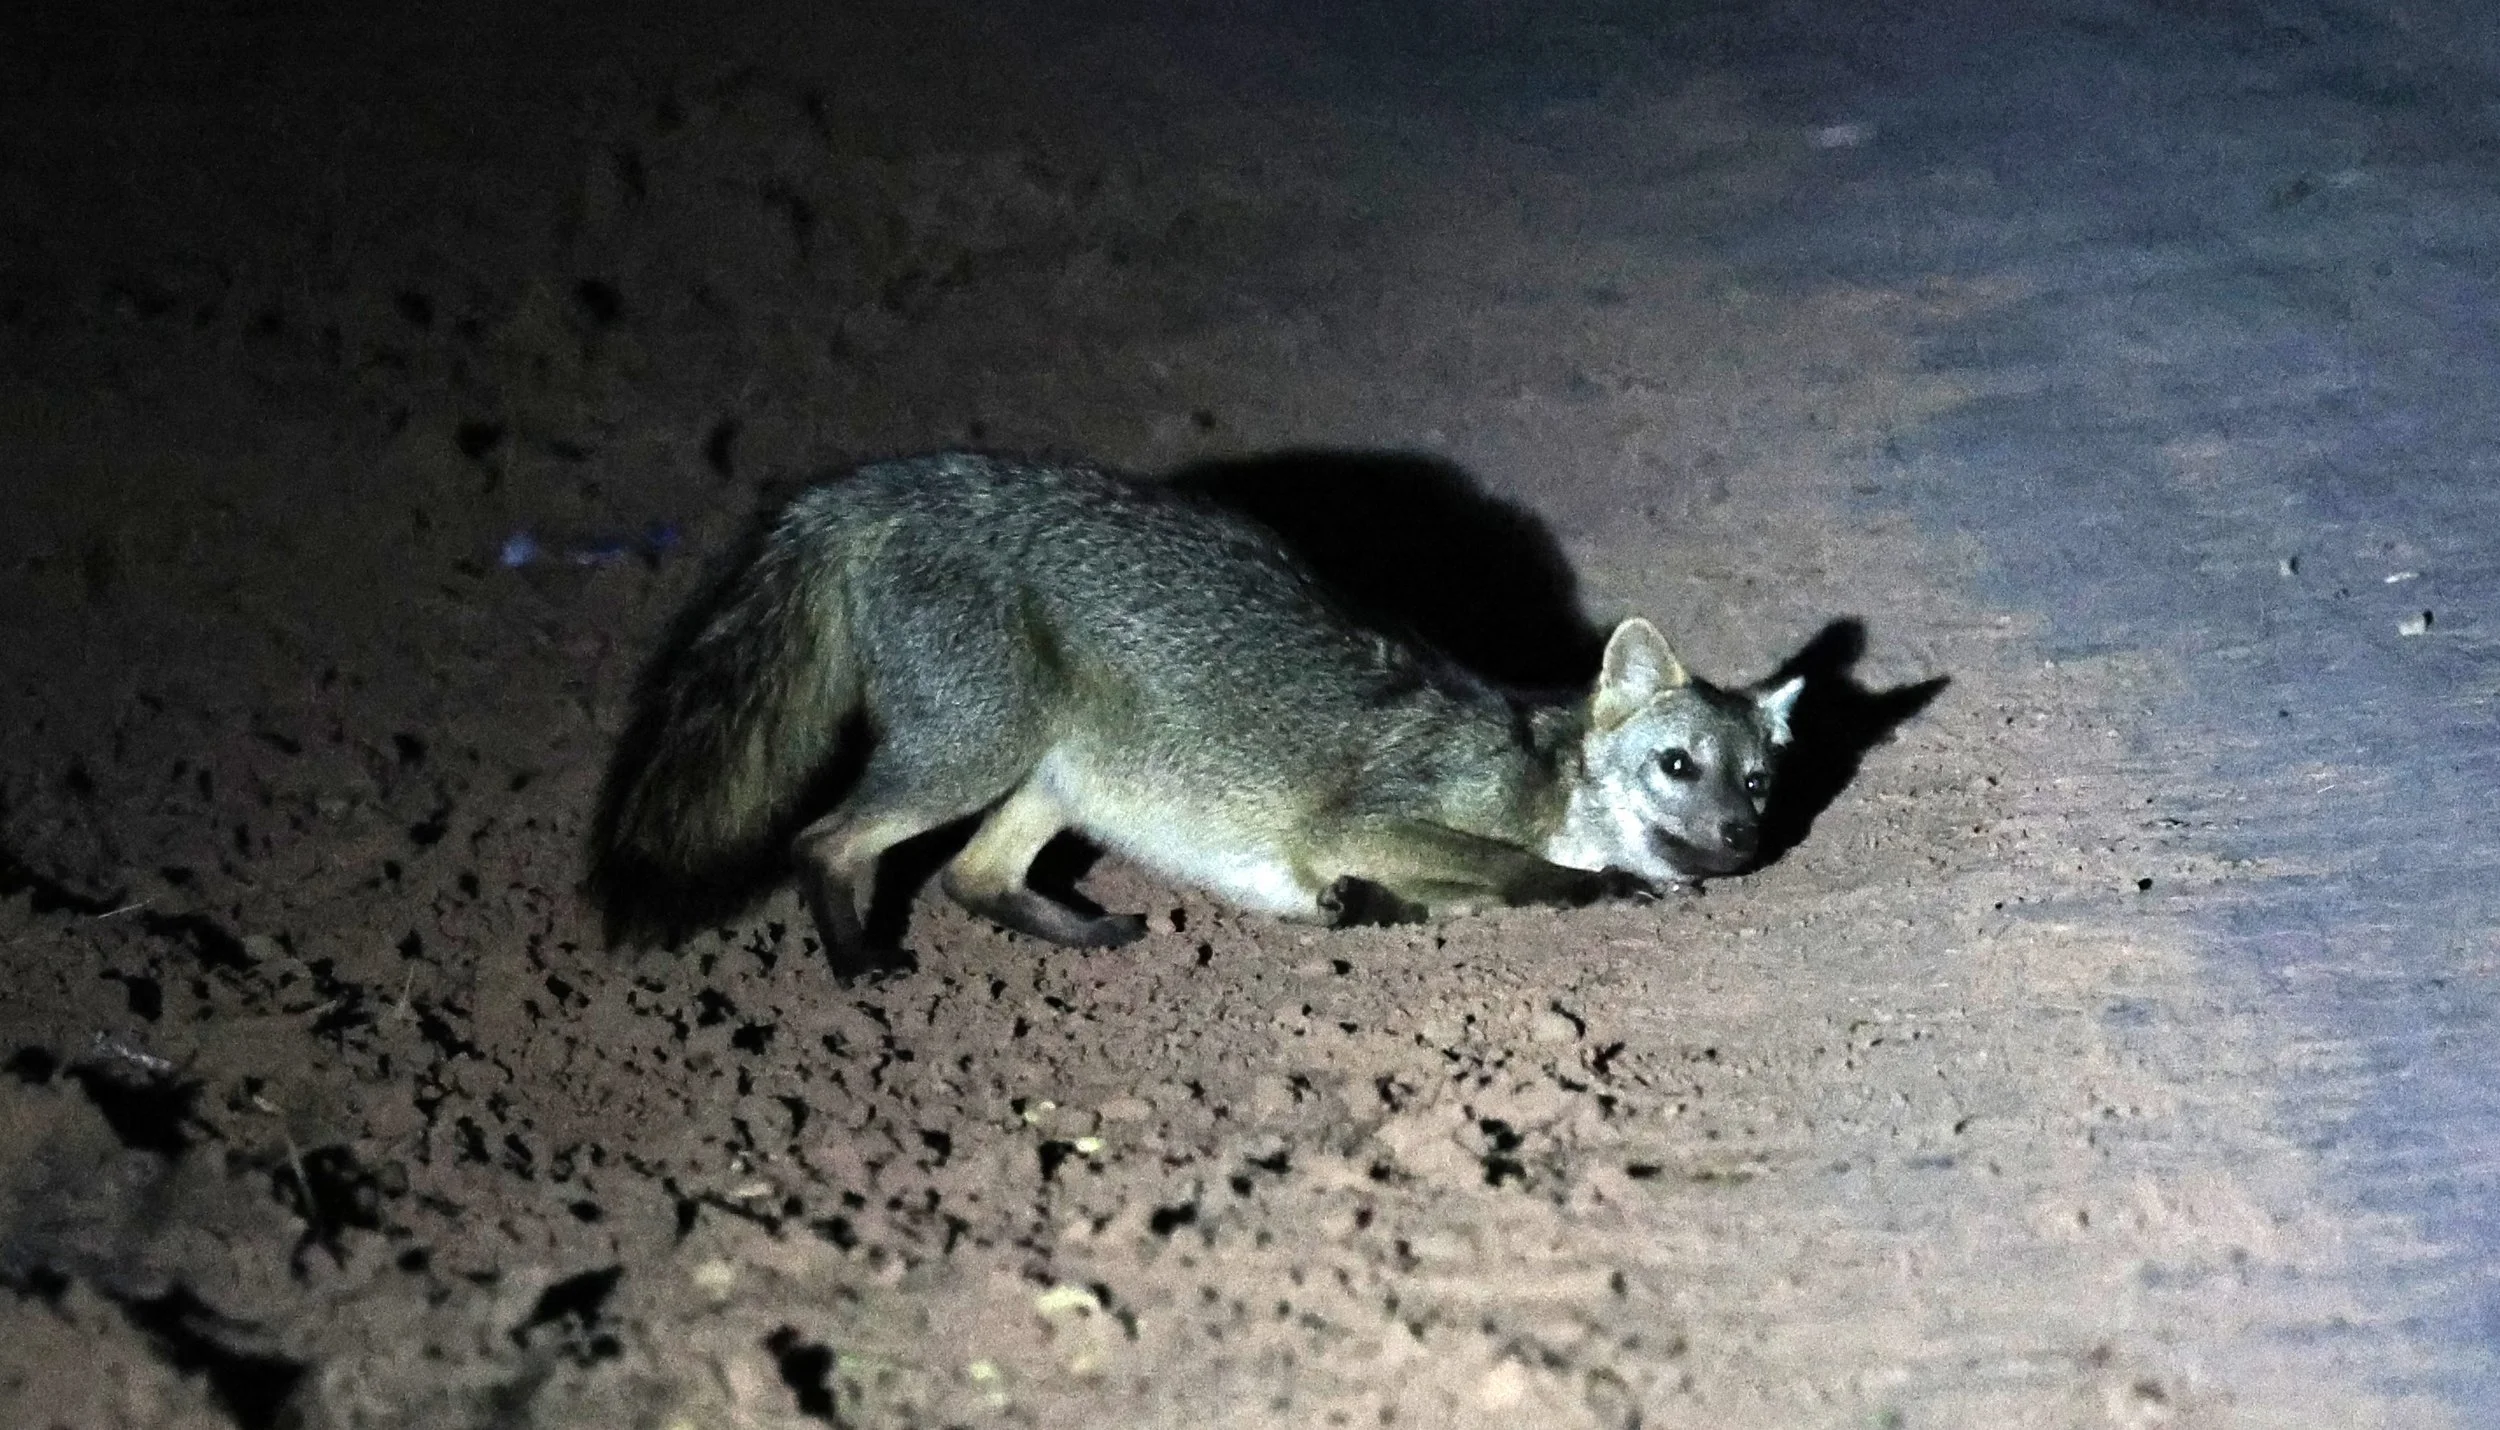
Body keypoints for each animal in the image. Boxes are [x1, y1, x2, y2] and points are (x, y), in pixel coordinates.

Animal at [587, 452, 1803, 971]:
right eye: (1677, 766)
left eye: (1756, 779)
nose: (1743, 838)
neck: (1538, 771)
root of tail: (887, 481)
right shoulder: (1370, 816)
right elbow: (1521, 869)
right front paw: (1593, 888)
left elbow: (1431, 895)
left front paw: (1368, 908)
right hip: (977, 752)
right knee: (825, 837)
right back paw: (856, 959)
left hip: (1058, 778)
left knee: (970, 877)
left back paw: (1088, 927)